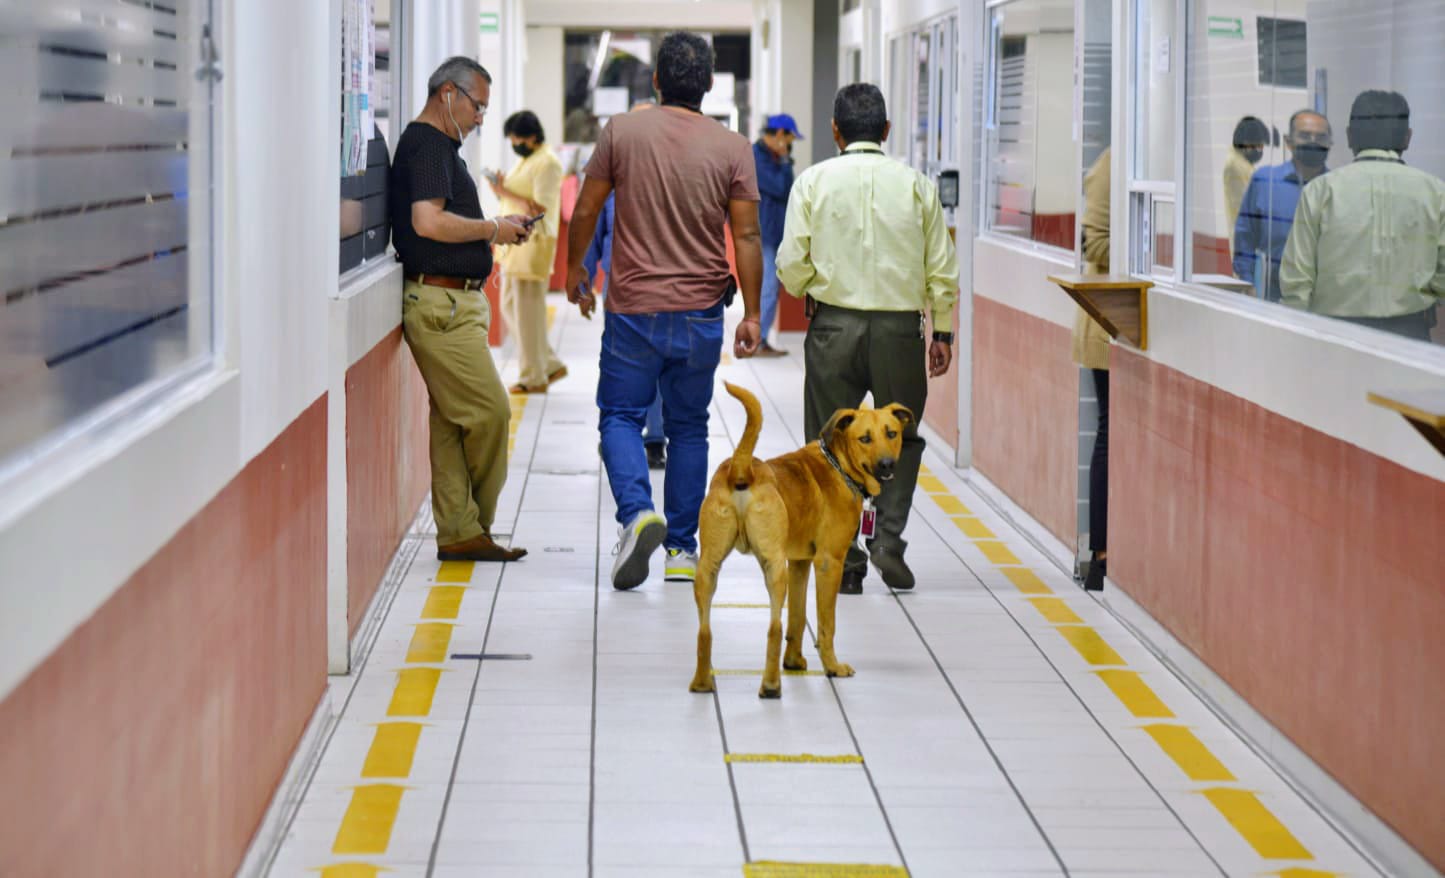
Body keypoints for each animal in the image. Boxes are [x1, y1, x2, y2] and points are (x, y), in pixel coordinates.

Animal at [684, 381, 907, 696]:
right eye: (865, 438)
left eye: (891, 433)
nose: (887, 464)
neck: (838, 464)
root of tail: (743, 468)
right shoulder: (828, 562)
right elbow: (826, 622)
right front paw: (832, 666)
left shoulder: (799, 562)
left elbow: (798, 617)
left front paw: (793, 661)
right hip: (774, 568)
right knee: (773, 628)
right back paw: (771, 685)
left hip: (709, 566)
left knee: (705, 630)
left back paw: (703, 682)